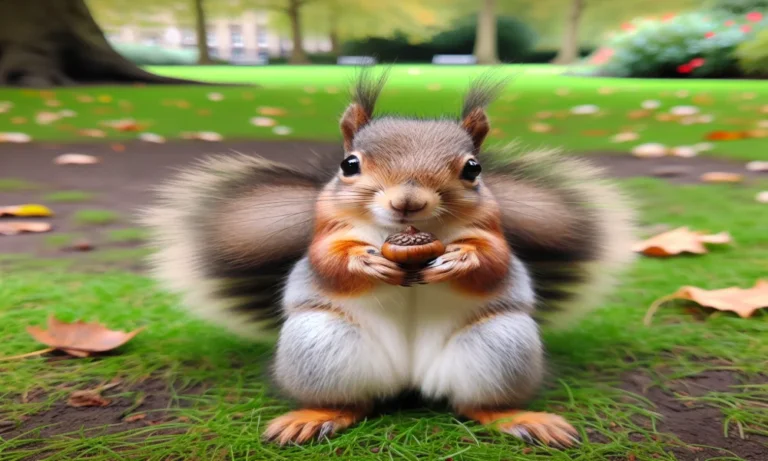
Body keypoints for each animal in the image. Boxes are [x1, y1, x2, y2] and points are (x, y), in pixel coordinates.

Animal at [141, 69, 636, 448]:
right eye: (350, 165)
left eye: (473, 169)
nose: (407, 202)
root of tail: (411, 380)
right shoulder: (324, 233)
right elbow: (326, 261)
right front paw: (364, 263)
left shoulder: (493, 232)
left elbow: (495, 260)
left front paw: (462, 260)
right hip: (319, 345)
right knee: (353, 402)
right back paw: (318, 416)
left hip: (501, 346)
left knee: (475, 405)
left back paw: (518, 419)